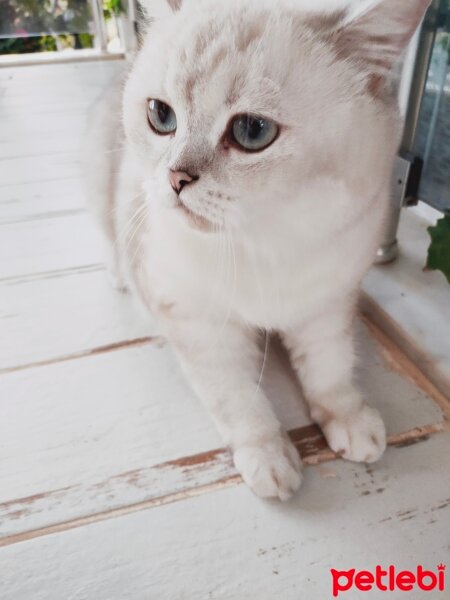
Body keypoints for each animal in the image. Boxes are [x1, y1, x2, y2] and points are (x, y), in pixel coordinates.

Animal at [84, 0, 432, 500]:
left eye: (252, 131)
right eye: (161, 116)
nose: (175, 178)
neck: (264, 243)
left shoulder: (328, 306)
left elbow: (331, 369)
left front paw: (348, 420)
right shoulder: (201, 327)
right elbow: (239, 400)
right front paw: (269, 458)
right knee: (109, 239)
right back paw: (118, 277)